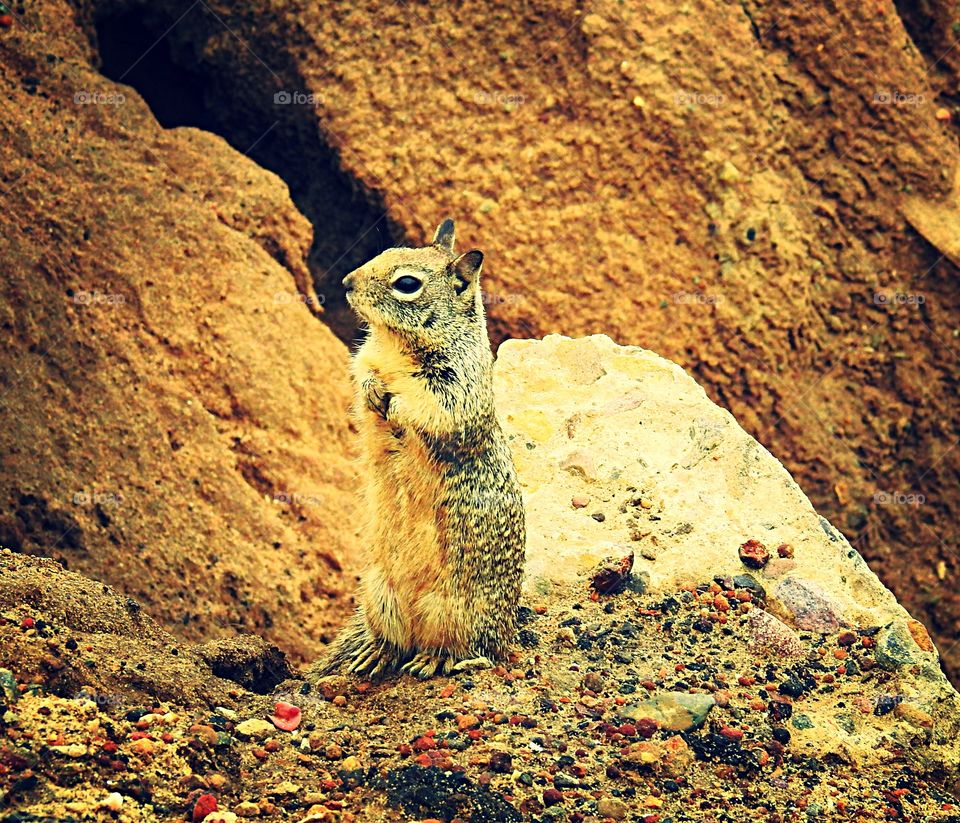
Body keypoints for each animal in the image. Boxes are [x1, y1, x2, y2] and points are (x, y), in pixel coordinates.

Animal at [316, 219, 526, 679]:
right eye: (385, 251)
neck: (396, 343)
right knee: (397, 641)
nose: (346, 282)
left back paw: (436, 659)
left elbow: (428, 406)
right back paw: (376, 652)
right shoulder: (366, 358)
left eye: (407, 284)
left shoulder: (455, 388)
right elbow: (363, 377)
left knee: (462, 647)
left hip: (454, 610)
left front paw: (395, 403)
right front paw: (374, 392)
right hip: (379, 595)